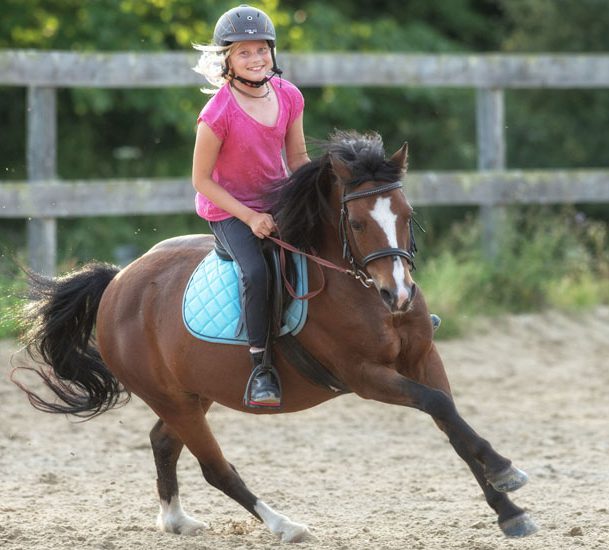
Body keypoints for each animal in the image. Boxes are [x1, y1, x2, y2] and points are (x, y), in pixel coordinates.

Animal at [15, 133, 536, 544]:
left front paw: (508, 508)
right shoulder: (365, 376)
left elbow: (451, 423)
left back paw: (176, 520)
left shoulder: (424, 358)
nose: (400, 295)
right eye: (359, 222)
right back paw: (285, 525)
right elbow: (439, 406)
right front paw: (505, 470)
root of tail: (119, 280)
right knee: (215, 468)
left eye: (406, 214)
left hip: (192, 394)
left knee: (163, 441)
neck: (360, 288)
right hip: (173, 398)